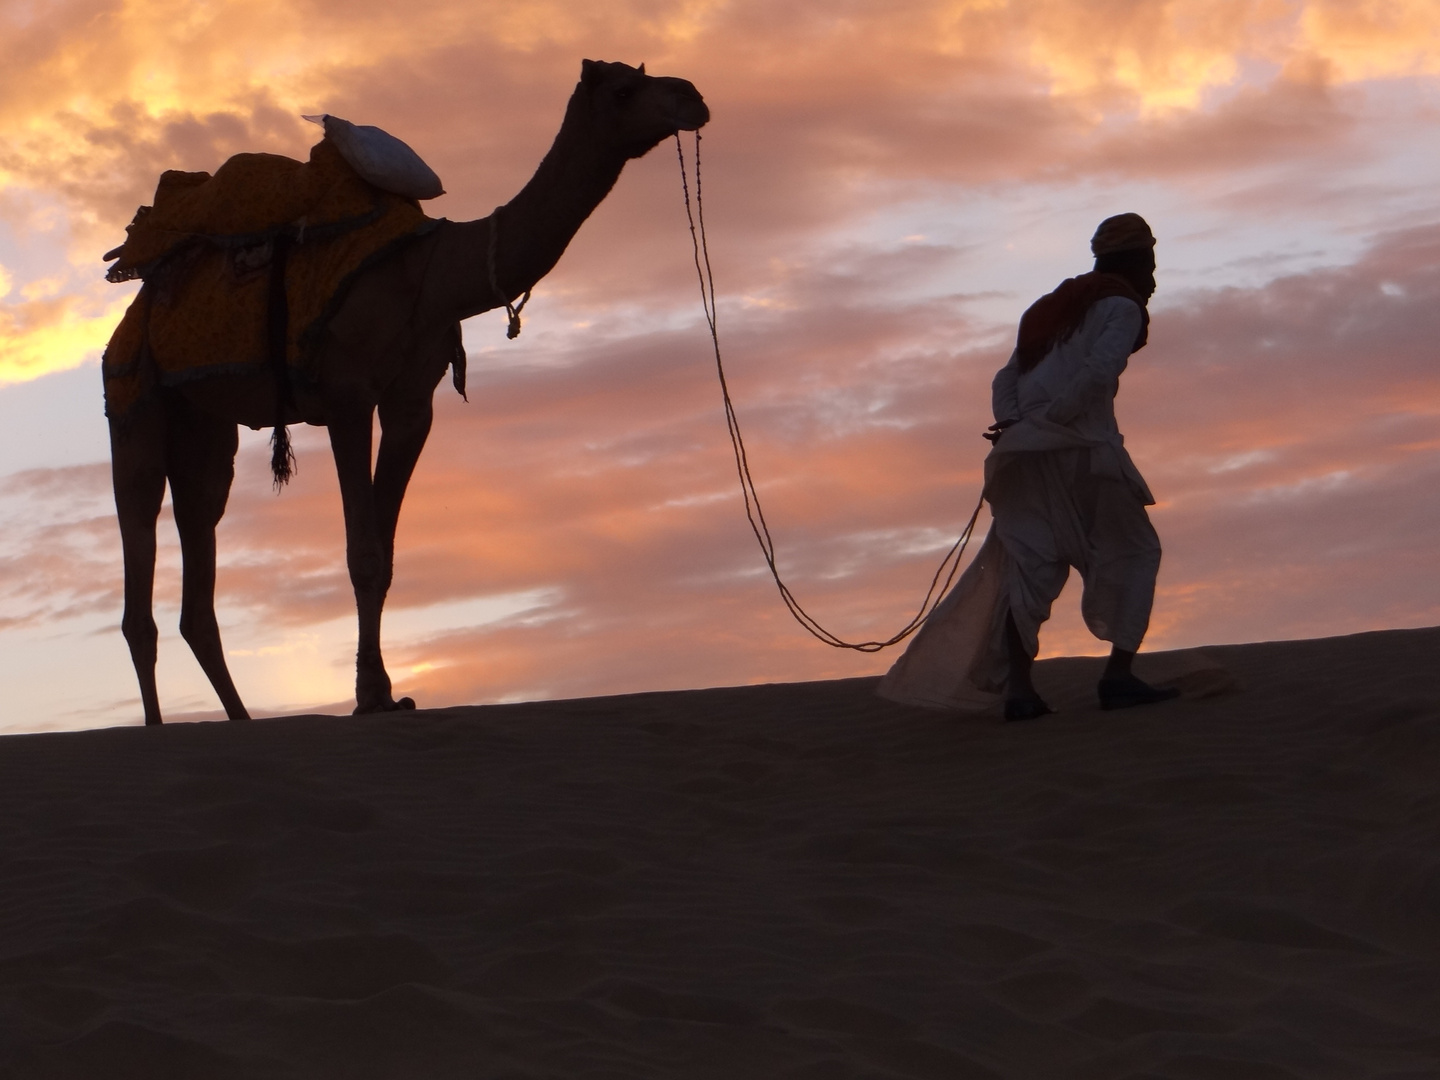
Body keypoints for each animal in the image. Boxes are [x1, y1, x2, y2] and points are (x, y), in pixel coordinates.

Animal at [108, 57, 708, 720]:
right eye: (625, 90)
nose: (694, 97)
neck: (433, 272)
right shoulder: (346, 392)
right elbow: (363, 553)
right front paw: (371, 696)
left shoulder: (411, 404)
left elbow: (387, 553)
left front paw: (387, 693)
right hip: (133, 390)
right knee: (140, 539)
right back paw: (157, 724)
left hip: (203, 423)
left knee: (200, 533)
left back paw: (239, 718)